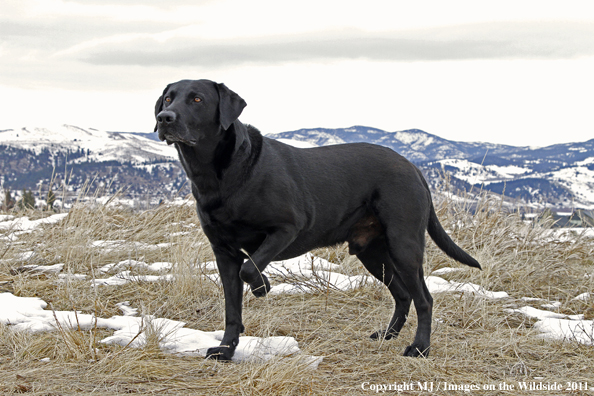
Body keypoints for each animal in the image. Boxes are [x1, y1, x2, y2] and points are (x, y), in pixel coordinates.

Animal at [155, 79, 478, 360]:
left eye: (197, 99)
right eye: (168, 98)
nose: (164, 117)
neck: (217, 175)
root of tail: (414, 168)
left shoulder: (287, 228)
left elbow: (249, 268)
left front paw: (263, 286)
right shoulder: (223, 253)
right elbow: (232, 309)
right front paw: (226, 350)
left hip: (404, 245)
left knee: (424, 299)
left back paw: (419, 348)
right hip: (372, 252)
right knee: (402, 295)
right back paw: (387, 335)